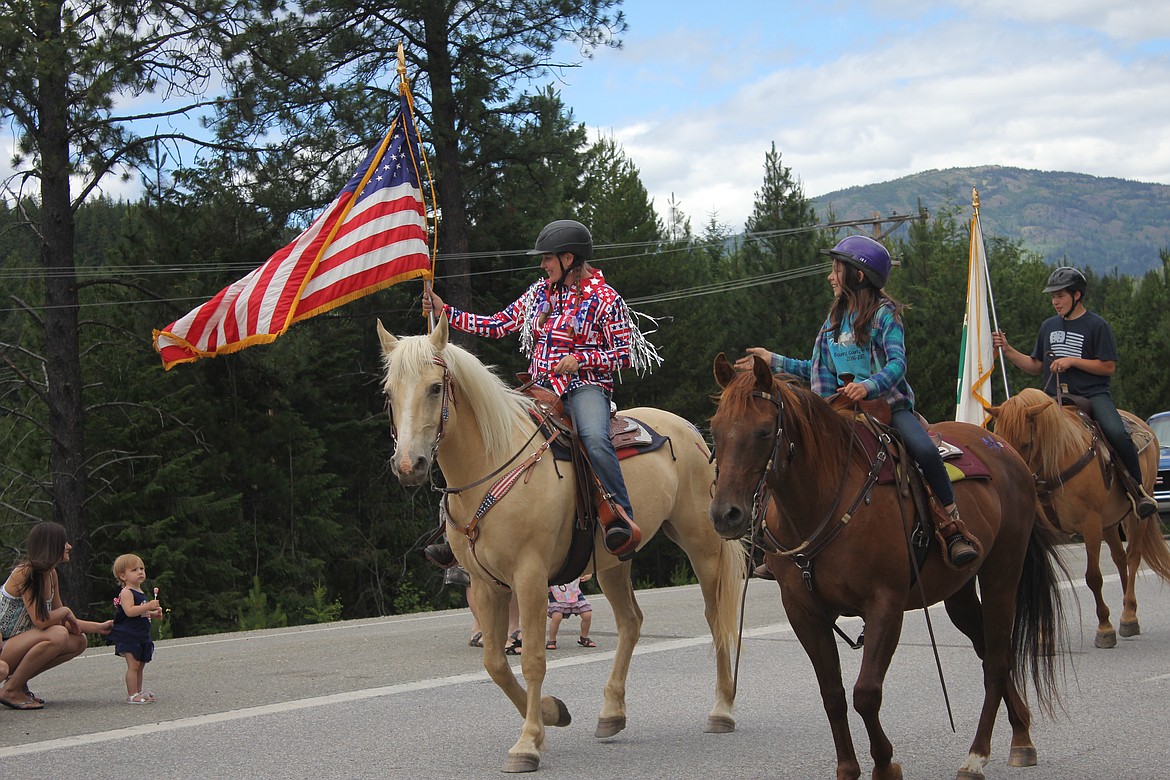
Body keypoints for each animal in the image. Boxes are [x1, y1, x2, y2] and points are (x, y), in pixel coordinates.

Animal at [379, 315, 744, 776]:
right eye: (389, 393)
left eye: (434, 388)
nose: (410, 465)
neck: (492, 462)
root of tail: (691, 431)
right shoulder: (485, 583)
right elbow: (495, 662)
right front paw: (552, 714)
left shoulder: (530, 576)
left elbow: (533, 658)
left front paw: (527, 745)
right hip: (614, 560)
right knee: (631, 622)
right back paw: (611, 714)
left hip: (701, 543)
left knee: (716, 618)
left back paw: (722, 709)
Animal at [702, 355, 1071, 780]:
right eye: (716, 430)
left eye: (764, 431)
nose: (725, 514)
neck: (823, 500)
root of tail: (1006, 450)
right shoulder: (803, 612)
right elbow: (833, 694)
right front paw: (848, 768)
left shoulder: (885, 605)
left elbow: (865, 693)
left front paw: (885, 764)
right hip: (959, 591)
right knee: (988, 650)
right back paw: (1021, 735)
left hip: (1002, 573)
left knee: (995, 660)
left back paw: (976, 756)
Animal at [987, 388, 1170, 650]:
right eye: (999, 439)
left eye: (1025, 443)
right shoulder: (1044, 532)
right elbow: (1044, 581)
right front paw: (1042, 635)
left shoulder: (1090, 524)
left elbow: (1093, 577)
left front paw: (1105, 627)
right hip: (1109, 523)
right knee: (1120, 558)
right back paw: (1129, 608)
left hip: (1136, 518)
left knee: (1133, 557)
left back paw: (1128, 616)